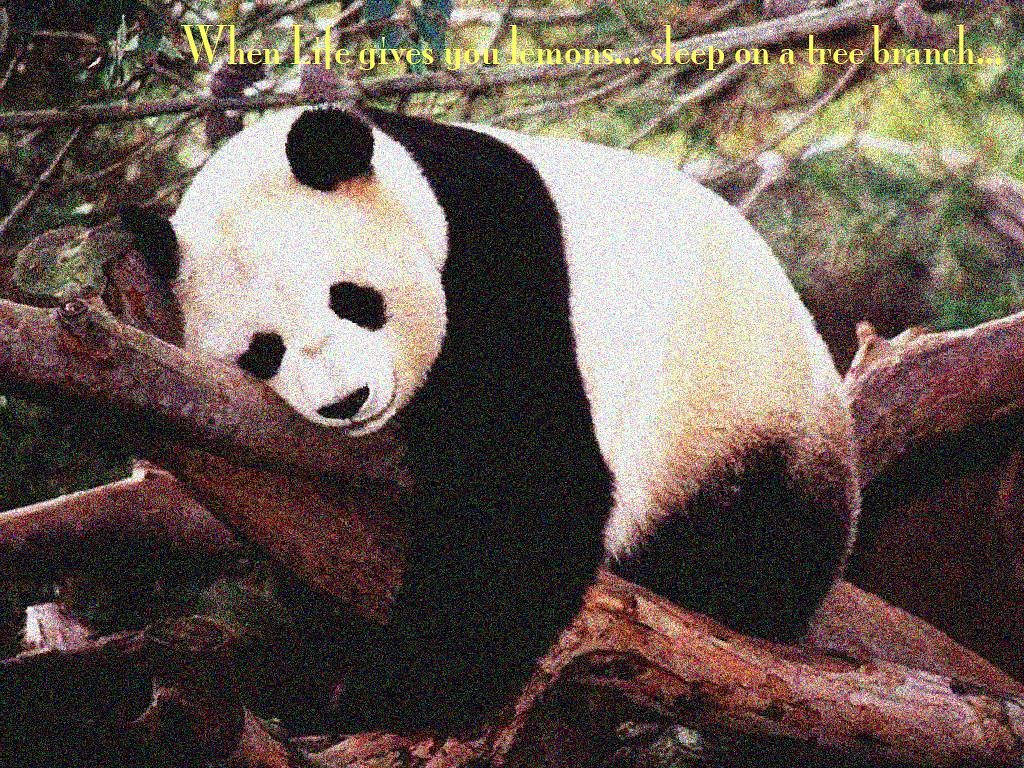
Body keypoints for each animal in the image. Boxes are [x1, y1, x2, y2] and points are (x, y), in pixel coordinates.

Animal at [121, 105, 859, 735]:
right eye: (263, 350)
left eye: (352, 299)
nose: (346, 401)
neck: (418, 186)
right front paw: (329, 670)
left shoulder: (499, 257)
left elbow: (528, 487)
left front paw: (395, 692)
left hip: (736, 411)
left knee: (754, 545)